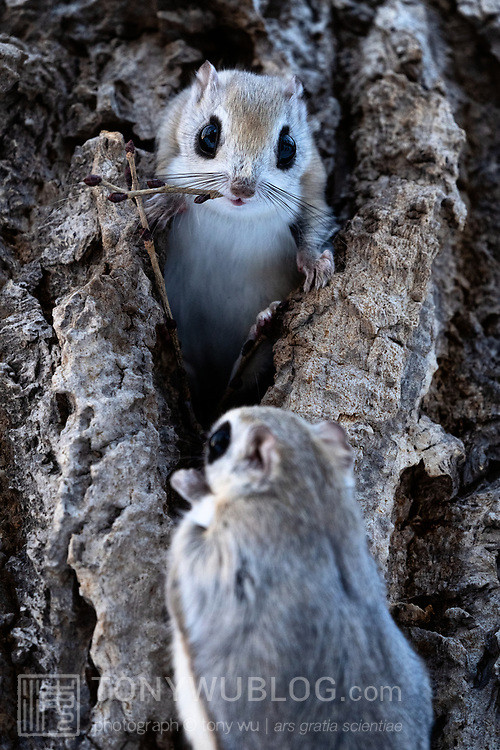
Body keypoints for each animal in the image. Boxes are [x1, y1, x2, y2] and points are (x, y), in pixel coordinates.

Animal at [150, 62, 336, 413]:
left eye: (288, 146)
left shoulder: (314, 190)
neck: (232, 218)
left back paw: (261, 326)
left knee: (238, 385)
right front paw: (164, 205)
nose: (242, 189)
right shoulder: (168, 142)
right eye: (208, 136)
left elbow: (313, 229)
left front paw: (314, 263)